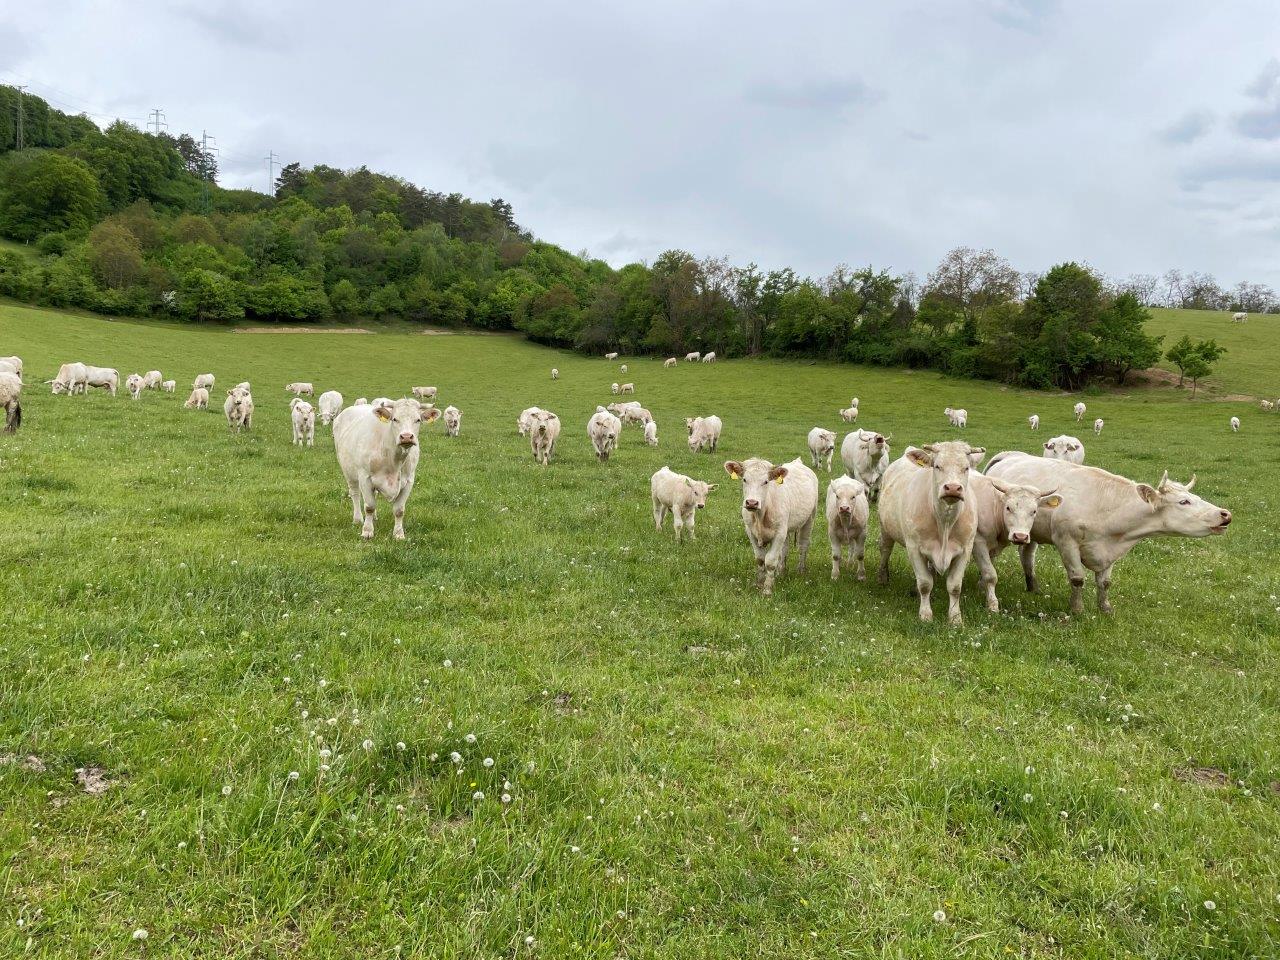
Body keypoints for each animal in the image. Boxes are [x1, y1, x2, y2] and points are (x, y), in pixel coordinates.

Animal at [721, 455, 819, 599]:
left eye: (766, 481)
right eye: (744, 479)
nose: (752, 503)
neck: (760, 515)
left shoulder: (779, 534)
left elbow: (770, 561)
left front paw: (767, 590)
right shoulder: (751, 532)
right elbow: (760, 559)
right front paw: (759, 584)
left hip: (809, 519)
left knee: (803, 546)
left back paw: (800, 570)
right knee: (785, 549)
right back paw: (781, 572)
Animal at [875, 442, 983, 627]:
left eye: (966, 467)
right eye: (937, 466)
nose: (953, 488)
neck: (945, 523)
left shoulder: (965, 549)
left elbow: (955, 586)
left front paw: (955, 618)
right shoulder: (913, 548)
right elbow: (925, 583)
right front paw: (925, 615)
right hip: (885, 527)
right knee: (885, 550)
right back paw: (883, 577)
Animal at [967, 476, 1059, 616]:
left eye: (1034, 511)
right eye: (1008, 508)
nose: (1020, 536)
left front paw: (982, 590)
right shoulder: (979, 542)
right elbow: (990, 575)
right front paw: (993, 605)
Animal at [988, 453, 1228, 616]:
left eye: (1195, 497)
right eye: (1184, 501)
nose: (1225, 514)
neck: (1105, 506)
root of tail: (1010, 455)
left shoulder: (1110, 550)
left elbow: (1105, 583)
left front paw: (1105, 608)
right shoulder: (1066, 542)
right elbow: (1077, 579)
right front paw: (1077, 609)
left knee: (1027, 555)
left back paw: (1033, 587)